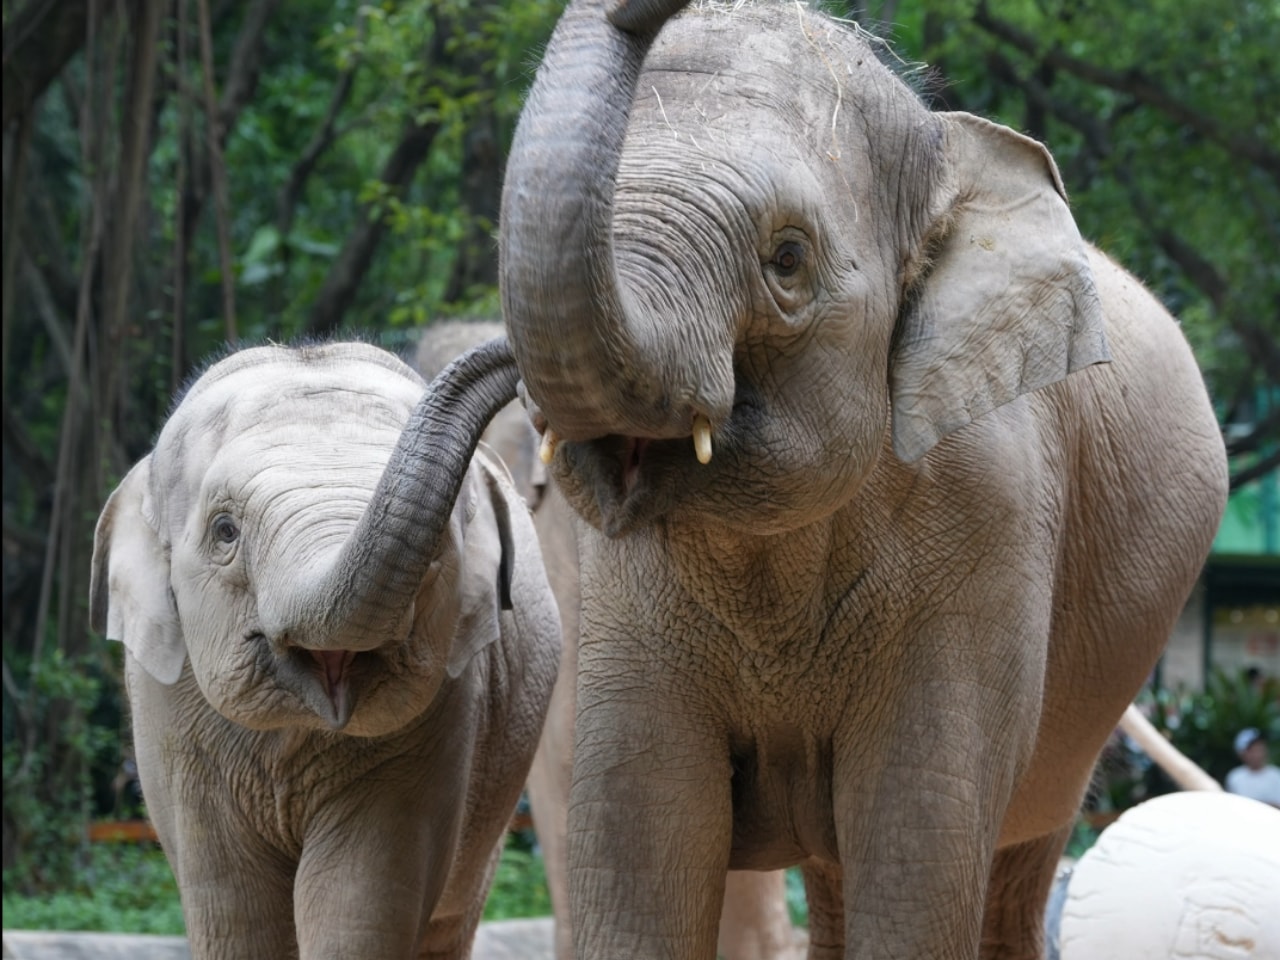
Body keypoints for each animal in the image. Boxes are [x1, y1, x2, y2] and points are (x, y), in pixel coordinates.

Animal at [90, 340, 560, 960]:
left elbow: (359, 901)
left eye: (441, 543)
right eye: (224, 531)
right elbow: (235, 910)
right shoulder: (169, 713)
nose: (535, 393)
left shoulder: (449, 711)